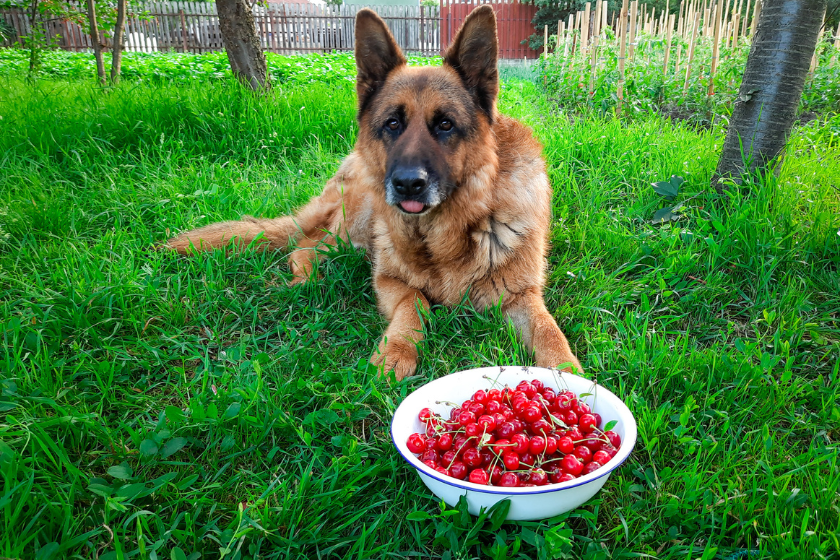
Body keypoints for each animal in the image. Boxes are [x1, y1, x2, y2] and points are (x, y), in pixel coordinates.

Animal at [167, 5, 580, 380]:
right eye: (392, 124)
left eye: (445, 125)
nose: (407, 184)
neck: (449, 231)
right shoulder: (388, 281)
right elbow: (416, 301)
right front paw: (397, 351)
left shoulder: (523, 297)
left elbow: (550, 332)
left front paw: (571, 376)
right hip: (357, 223)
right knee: (305, 246)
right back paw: (305, 280)